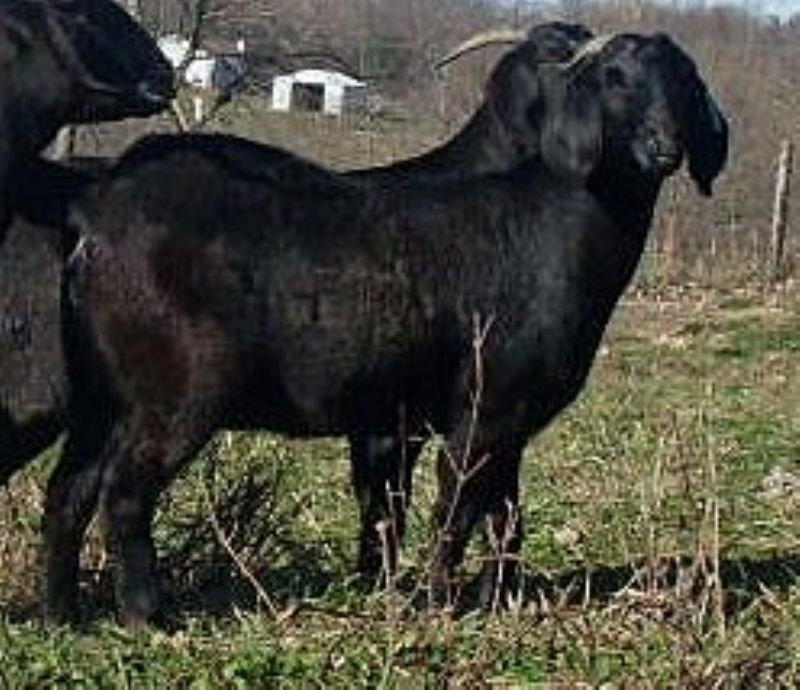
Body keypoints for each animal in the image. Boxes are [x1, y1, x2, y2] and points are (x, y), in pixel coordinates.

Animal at [51, 31, 728, 626]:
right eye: (615, 79)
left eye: (685, 83)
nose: (663, 148)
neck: (558, 219)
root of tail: (96, 214)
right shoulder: (481, 408)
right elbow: (455, 507)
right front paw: (435, 603)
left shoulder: (511, 421)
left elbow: (506, 514)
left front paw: (495, 601)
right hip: (179, 393)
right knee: (124, 490)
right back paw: (146, 616)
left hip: (101, 397)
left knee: (69, 490)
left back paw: (64, 616)